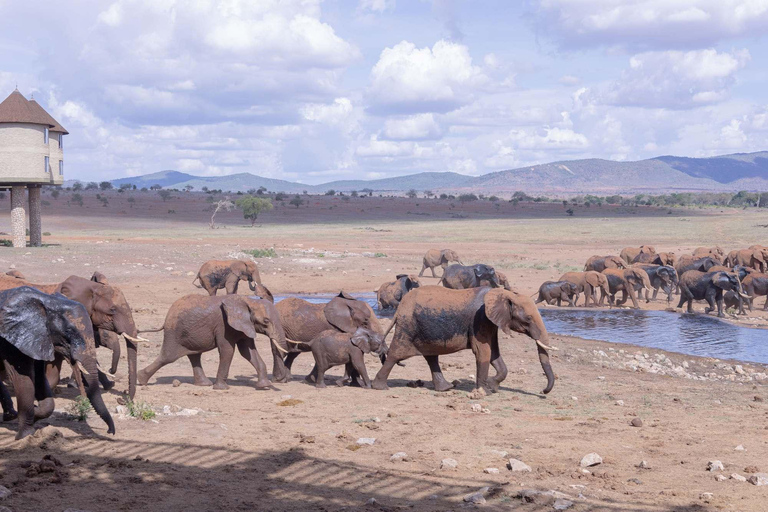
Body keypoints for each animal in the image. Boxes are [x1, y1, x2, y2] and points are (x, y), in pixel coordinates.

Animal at [0, 288, 114, 440]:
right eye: (68, 331)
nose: (110, 431)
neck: (48, 301)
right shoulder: (12, 339)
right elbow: (22, 379)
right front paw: (24, 436)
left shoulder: (40, 339)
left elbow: (40, 378)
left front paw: (36, 413)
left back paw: (9, 415)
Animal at [136, 294, 286, 390]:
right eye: (266, 321)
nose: (278, 381)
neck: (249, 301)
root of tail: (166, 318)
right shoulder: (223, 326)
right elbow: (228, 350)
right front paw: (222, 388)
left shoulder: (245, 326)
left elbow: (248, 352)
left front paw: (265, 386)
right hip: (174, 333)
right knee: (168, 357)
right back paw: (141, 380)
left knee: (194, 355)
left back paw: (204, 384)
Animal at [370, 286, 556, 394]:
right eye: (528, 319)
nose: (543, 391)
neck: (505, 294)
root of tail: (400, 307)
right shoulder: (480, 319)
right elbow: (483, 352)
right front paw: (482, 392)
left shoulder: (490, 322)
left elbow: (494, 353)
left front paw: (492, 386)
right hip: (407, 326)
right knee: (395, 354)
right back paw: (380, 387)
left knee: (431, 357)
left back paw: (446, 388)